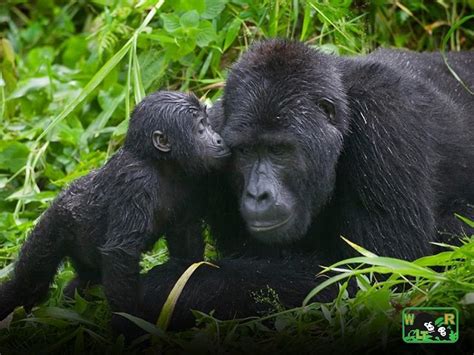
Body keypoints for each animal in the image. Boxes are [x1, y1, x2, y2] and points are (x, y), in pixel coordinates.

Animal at [0, 91, 230, 330]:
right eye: (201, 128)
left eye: (208, 123)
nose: (218, 139)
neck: (159, 163)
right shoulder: (136, 183)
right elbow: (121, 252)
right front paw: (130, 324)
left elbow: (186, 240)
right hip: (54, 224)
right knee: (27, 283)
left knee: (85, 281)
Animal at [139, 39, 472, 328]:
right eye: (244, 151)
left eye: (278, 150)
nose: (258, 194)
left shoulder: (386, 119)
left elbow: (379, 274)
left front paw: (171, 285)